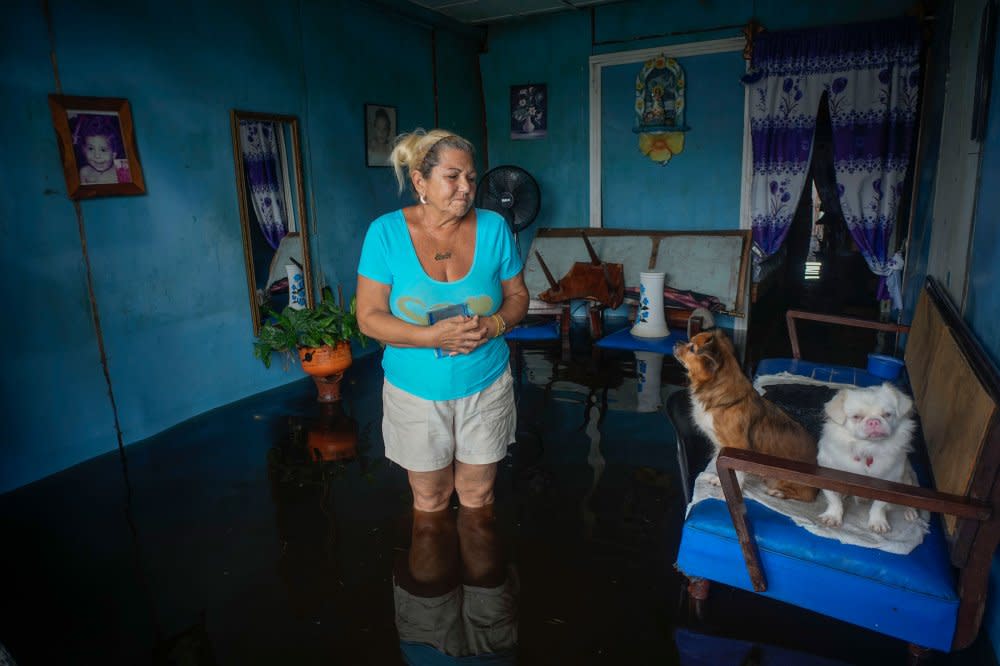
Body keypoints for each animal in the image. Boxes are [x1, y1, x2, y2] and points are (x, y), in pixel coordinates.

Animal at [676, 326, 816, 498]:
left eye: (692, 348)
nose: (676, 342)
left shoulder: (737, 446)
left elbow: (737, 472)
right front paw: (718, 480)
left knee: (804, 496)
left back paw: (777, 492)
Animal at [816, 382, 916, 532]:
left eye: (887, 415)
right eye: (856, 417)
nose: (874, 421)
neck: (867, 448)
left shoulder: (889, 481)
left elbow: (879, 505)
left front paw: (878, 522)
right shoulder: (828, 473)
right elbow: (834, 499)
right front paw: (833, 517)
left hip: (906, 479)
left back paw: (911, 511)